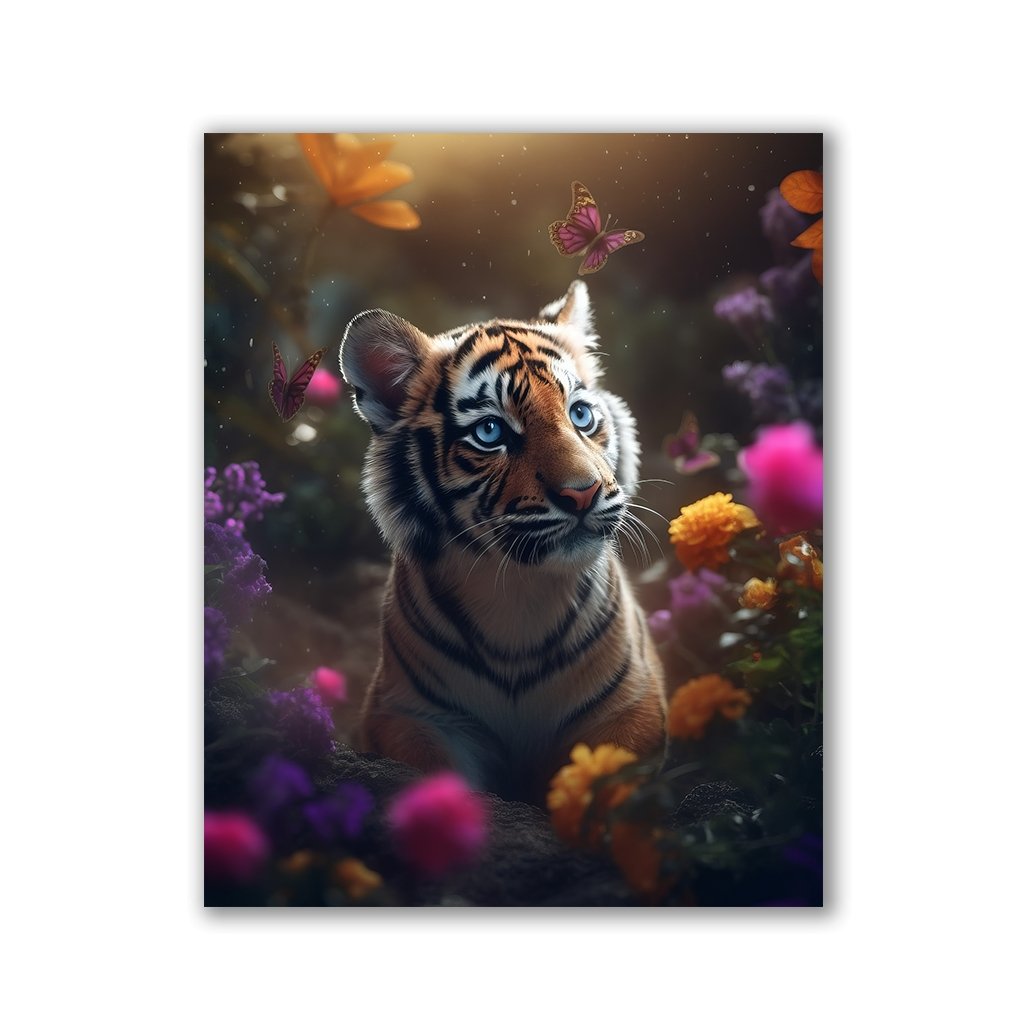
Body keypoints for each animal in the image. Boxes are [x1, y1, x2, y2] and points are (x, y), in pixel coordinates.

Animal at [340, 280, 666, 804]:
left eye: (580, 414)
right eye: (490, 431)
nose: (583, 493)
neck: (519, 592)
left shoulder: (631, 706)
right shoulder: (413, 715)